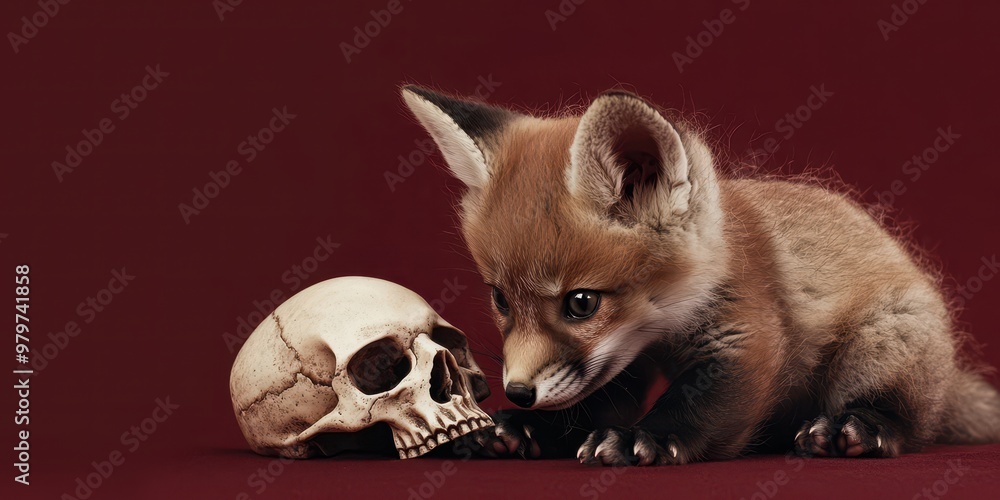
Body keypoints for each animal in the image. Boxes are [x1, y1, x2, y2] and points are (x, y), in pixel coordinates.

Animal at [401, 84, 1000, 465]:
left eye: (581, 303)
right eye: (500, 300)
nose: (519, 393)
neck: (664, 328)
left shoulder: (747, 337)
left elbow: (695, 406)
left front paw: (644, 439)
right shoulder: (619, 367)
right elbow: (591, 403)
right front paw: (521, 428)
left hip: (884, 342)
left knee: (910, 422)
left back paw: (857, 428)